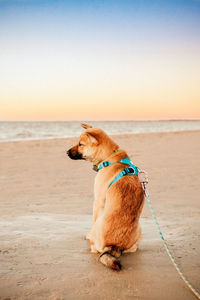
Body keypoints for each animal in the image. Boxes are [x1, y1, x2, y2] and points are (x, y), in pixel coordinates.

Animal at [67, 123, 144, 270]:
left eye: (80, 144)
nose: (66, 152)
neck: (109, 157)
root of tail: (114, 245)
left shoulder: (97, 201)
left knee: (94, 247)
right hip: (139, 229)